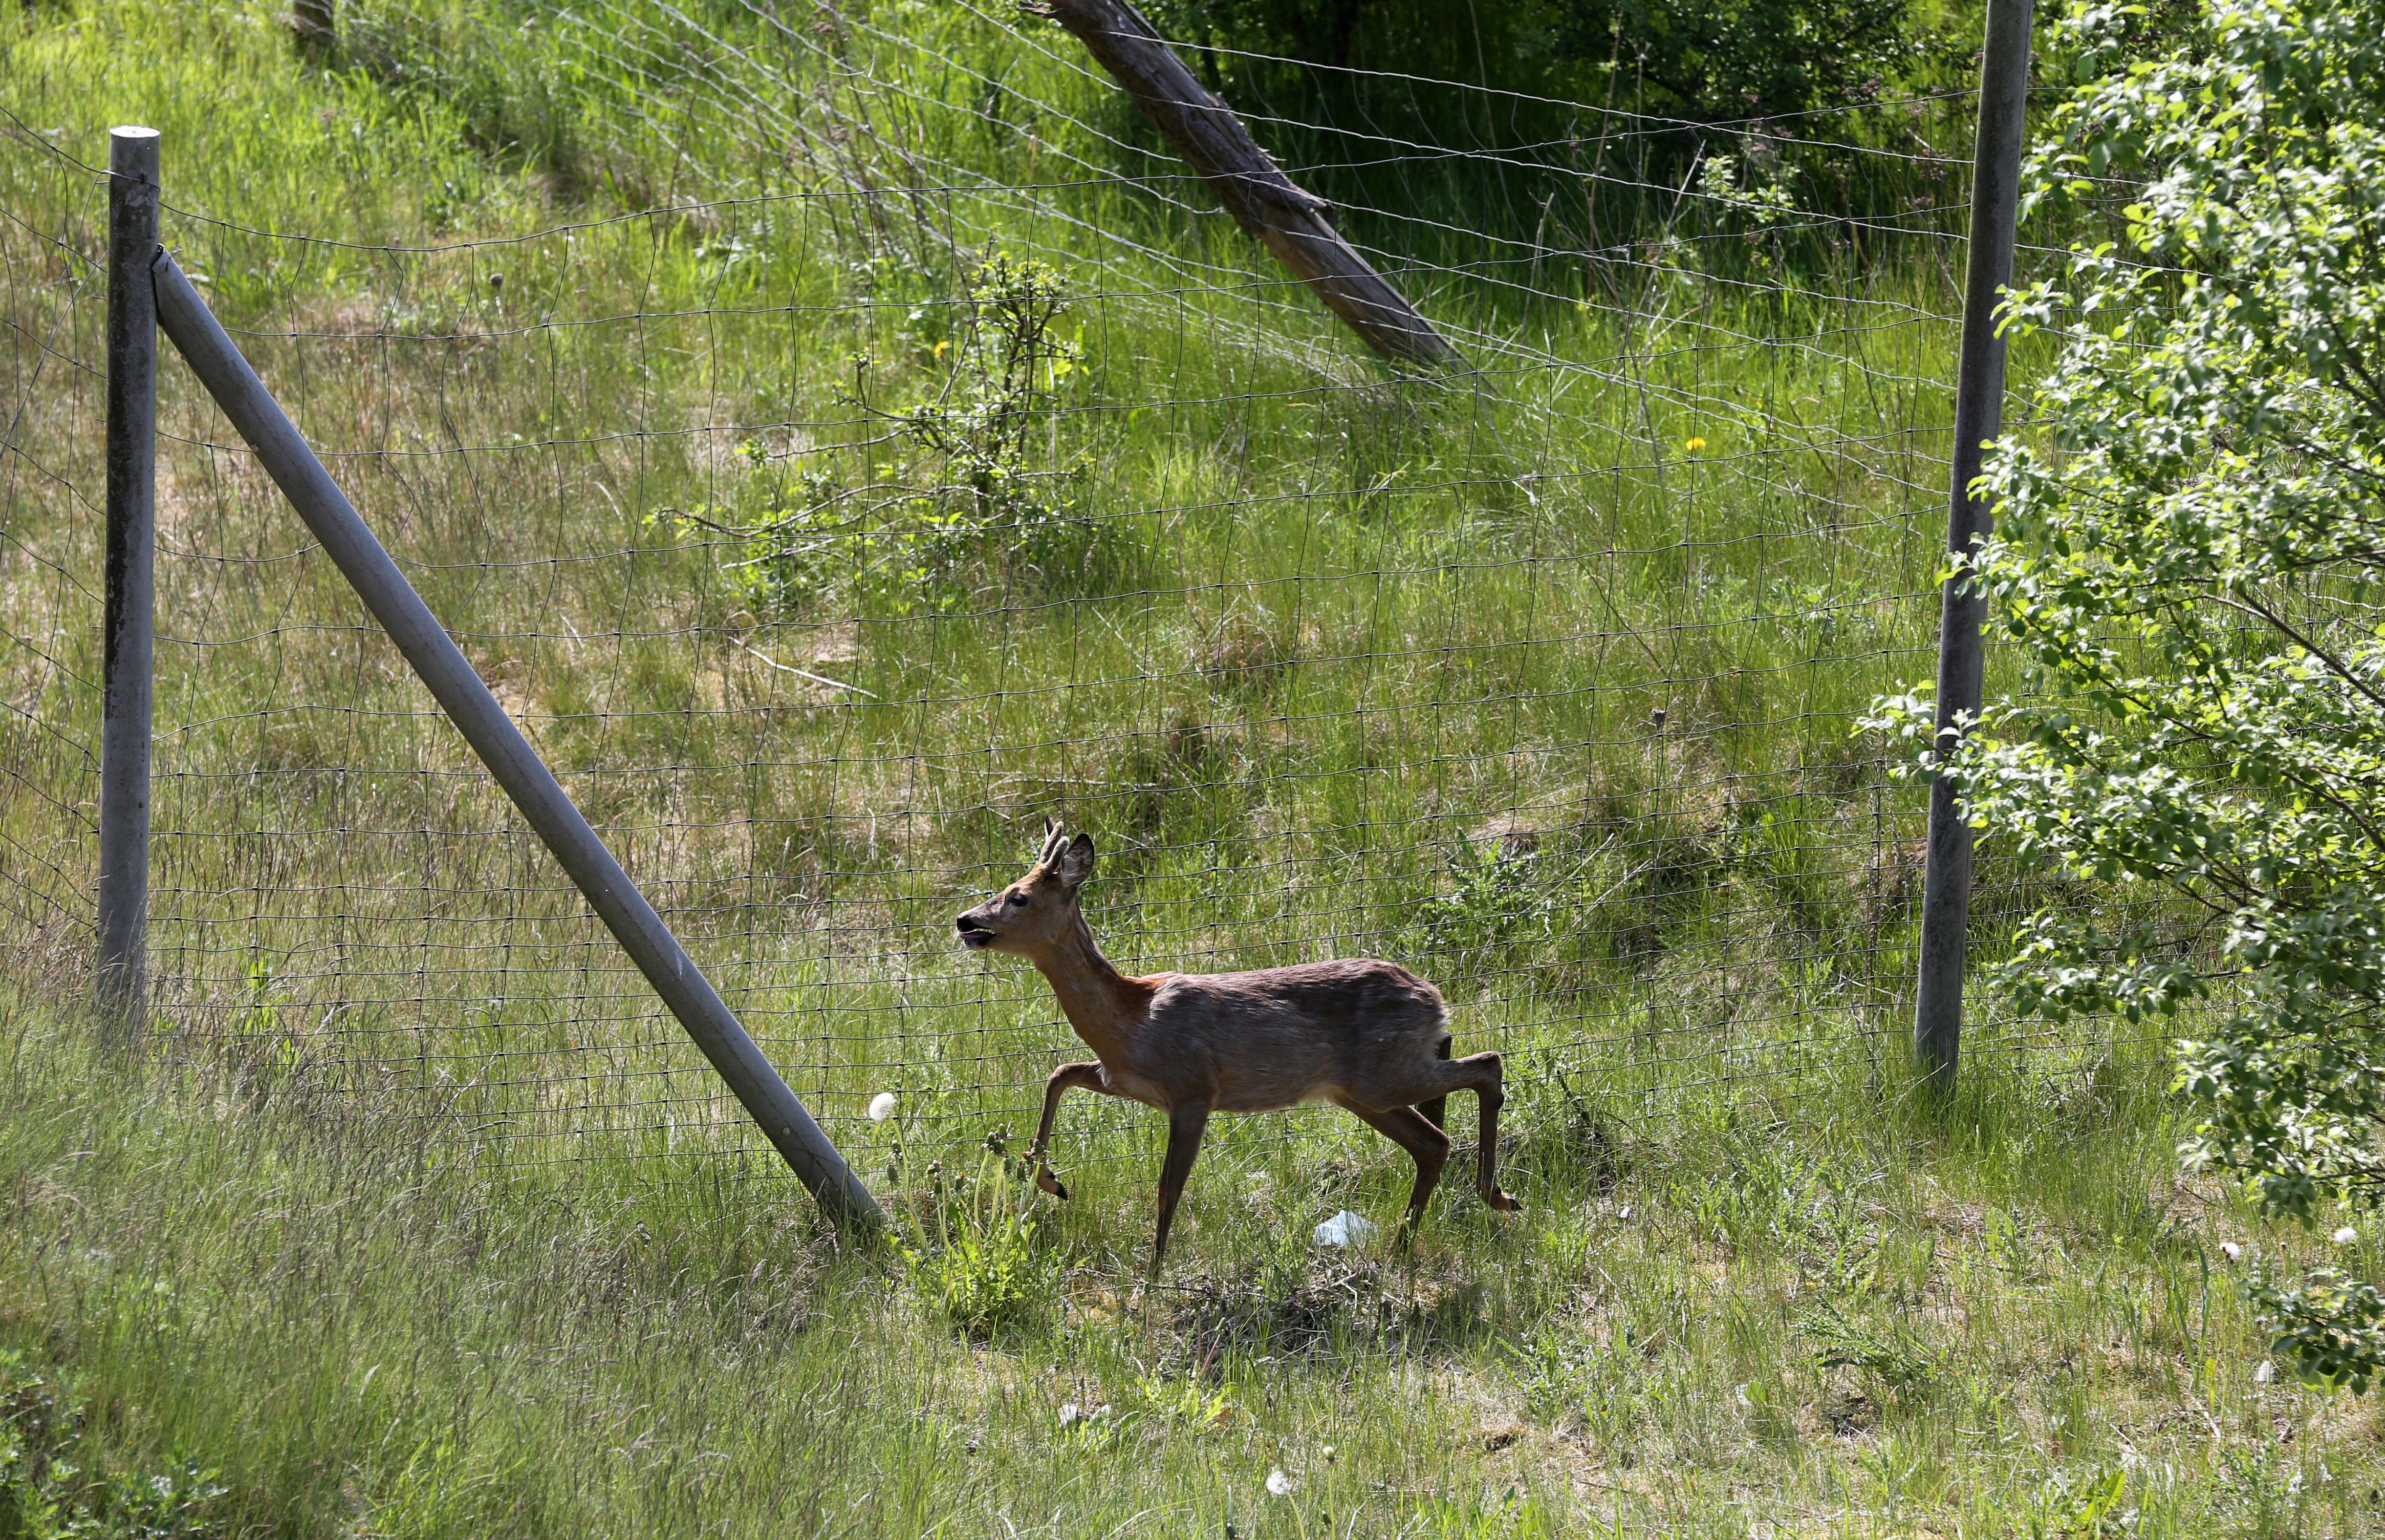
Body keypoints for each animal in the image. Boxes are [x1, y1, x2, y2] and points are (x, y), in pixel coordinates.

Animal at [955, 818, 1520, 1275]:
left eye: (1018, 896)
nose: (965, 920)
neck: (1131, 1020)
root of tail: (1434, 998)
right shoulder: (1124, 1079)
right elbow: (1060, 1073)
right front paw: (1049, 1178)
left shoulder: (1193, 1090)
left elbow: (1168, 1186)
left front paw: (1151, 1279)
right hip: (1361, 1091)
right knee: (1432, 1140)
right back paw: (1406, 1244)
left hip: (1382, 1077)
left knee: (1486, 1067)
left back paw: (1495, 1195)